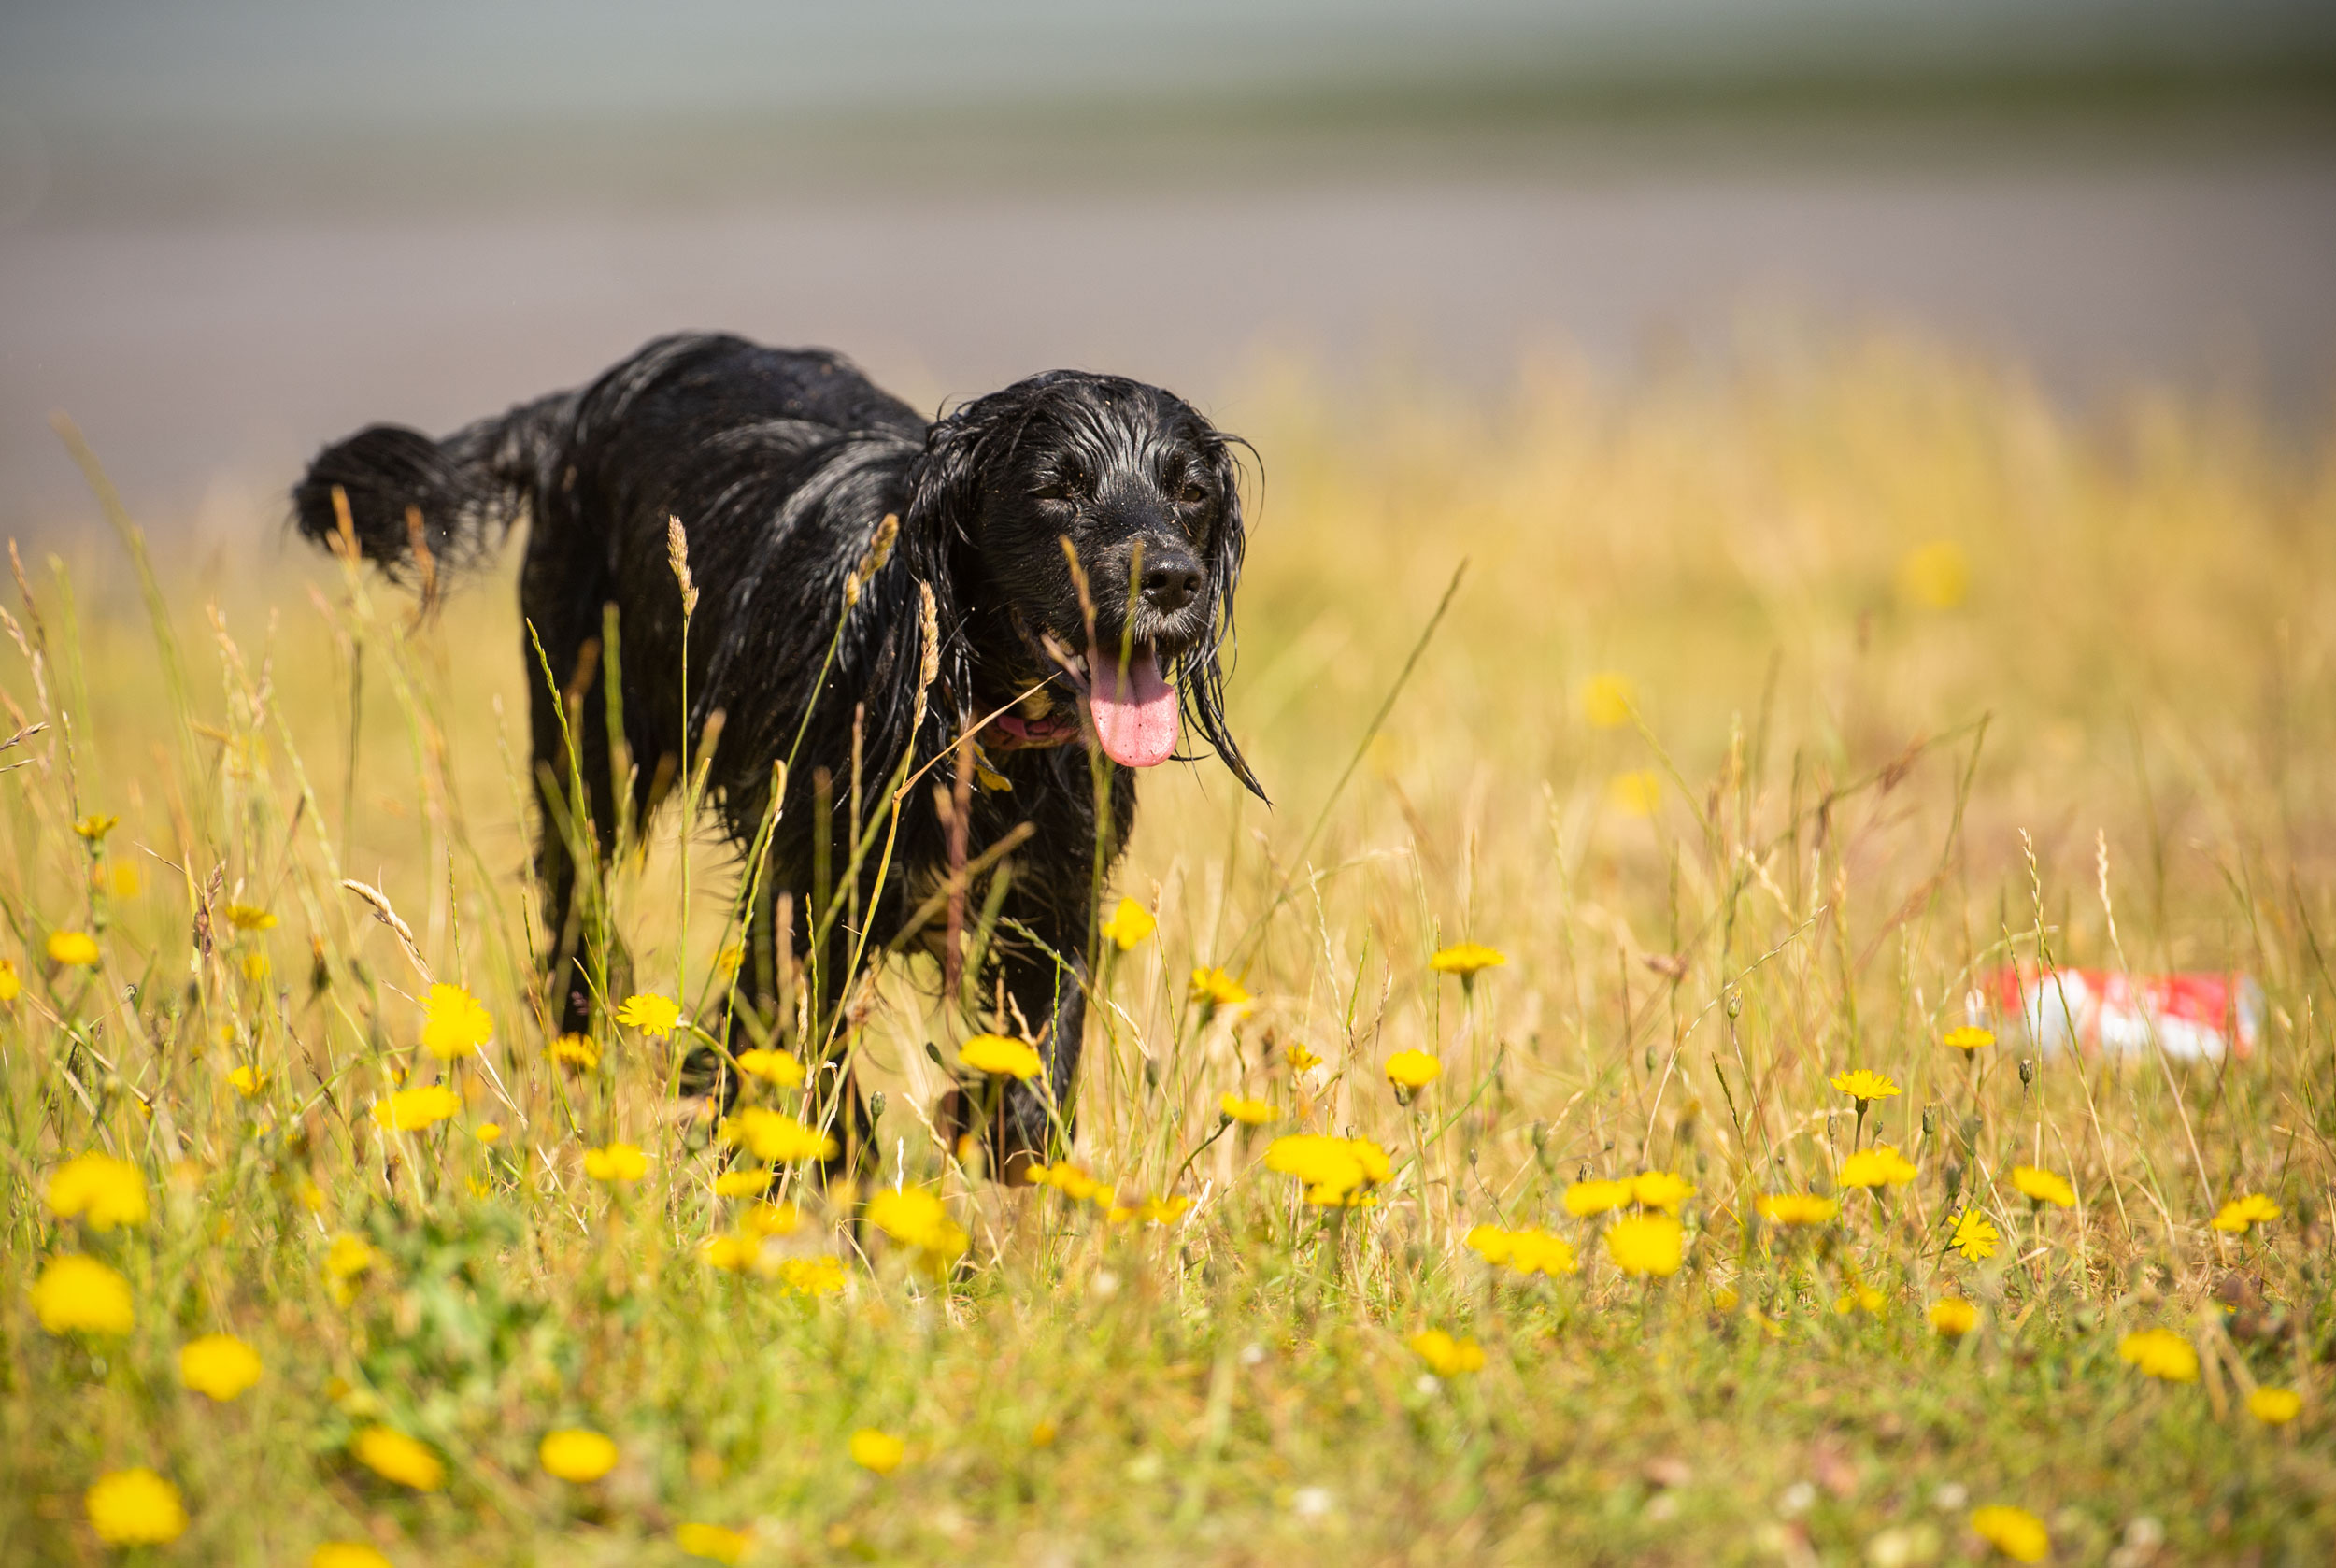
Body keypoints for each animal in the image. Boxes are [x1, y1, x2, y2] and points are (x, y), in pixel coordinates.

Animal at [292, 336, 1261, 1182]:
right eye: (1058, 489)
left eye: (1190, 492)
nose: (1171, 578)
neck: (968, 721)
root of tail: (587, 400)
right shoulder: (800, 908)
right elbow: (805, 1084)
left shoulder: (1054, 908)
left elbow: (1030, 1095)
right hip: (589, 752)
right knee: (574, 912)